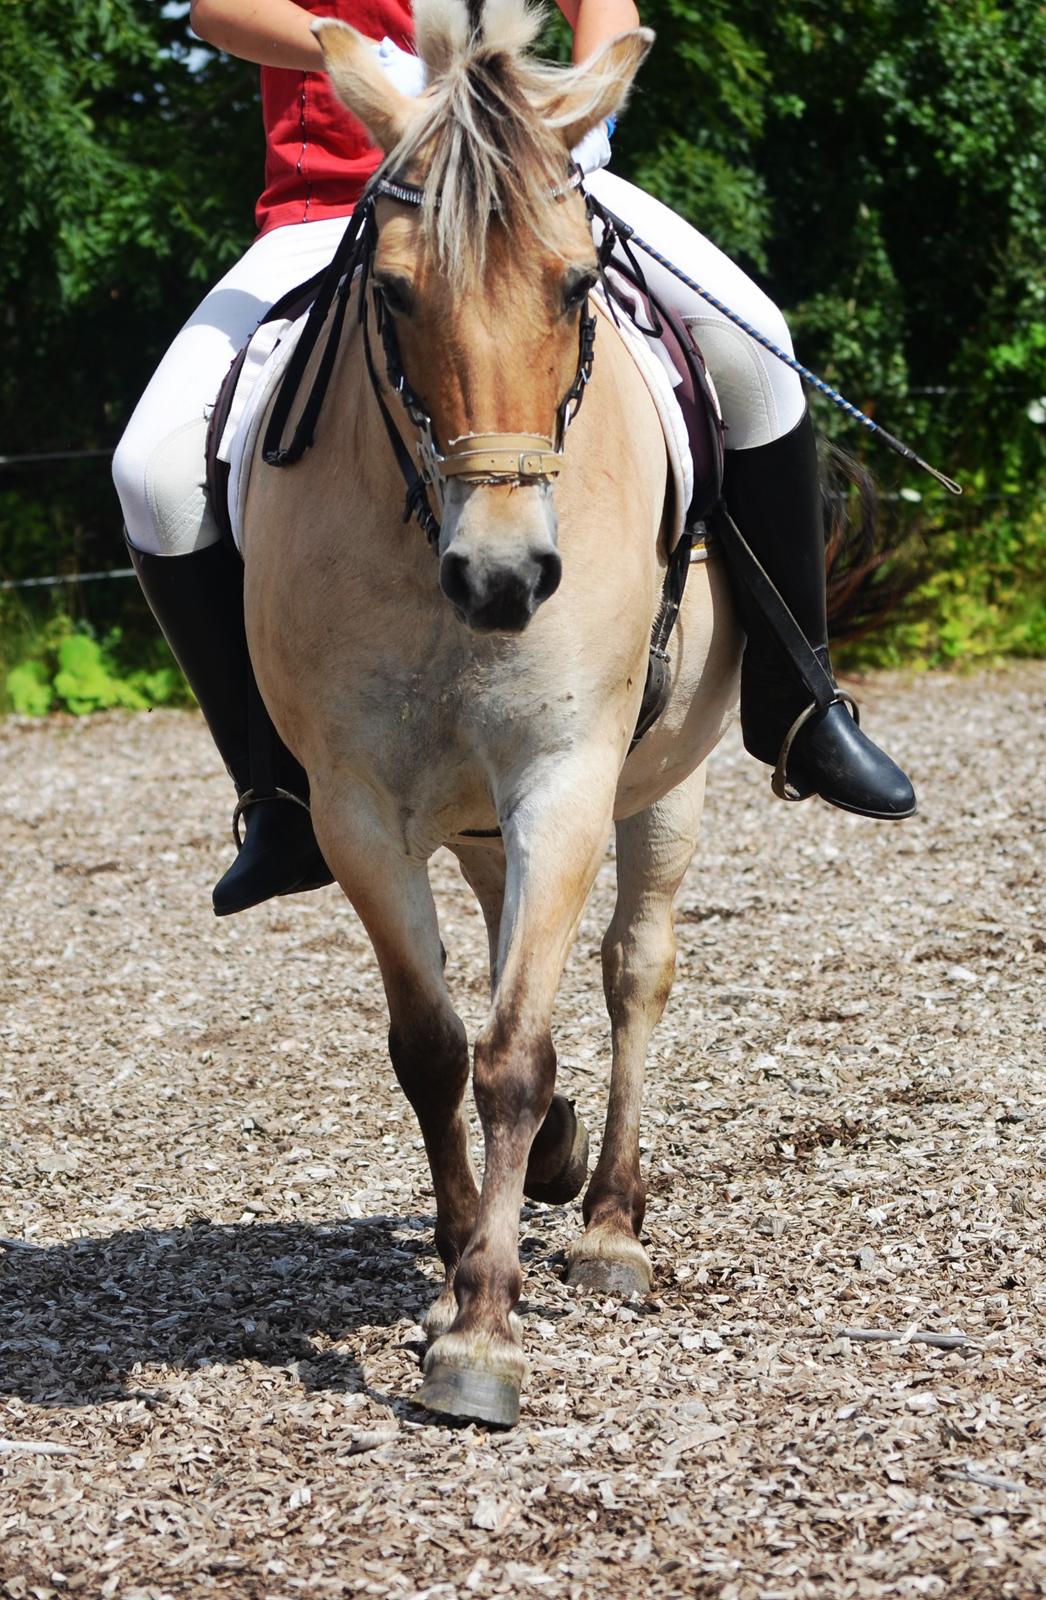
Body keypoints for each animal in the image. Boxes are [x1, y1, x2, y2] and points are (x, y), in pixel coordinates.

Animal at [241, 0, 742, 1427]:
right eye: (394, 293)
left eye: (575, 287)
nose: (505, 577)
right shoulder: (356, 807)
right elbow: (432, 1044)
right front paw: (462, 1259)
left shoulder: (564, 779)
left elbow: (511, 1049)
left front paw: (481, 1331)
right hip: (466, 821)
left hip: (661, 785)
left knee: (634, 969)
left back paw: (612, 1218)